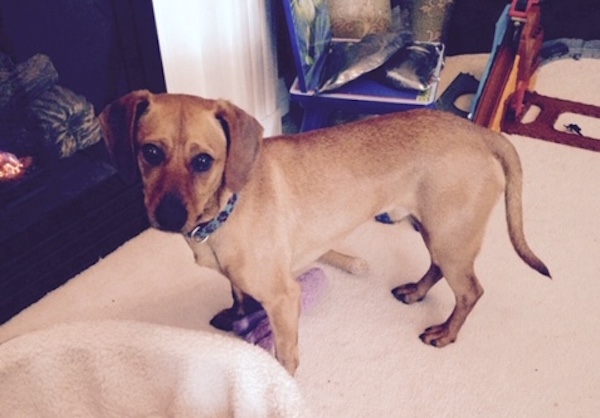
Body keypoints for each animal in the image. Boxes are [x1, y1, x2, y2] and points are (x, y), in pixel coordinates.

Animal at [98, 90, 548, 374]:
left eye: (204, 161)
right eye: (150, 152)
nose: (169, 217)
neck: (224, 209)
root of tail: (480, 132)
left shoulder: (284, 299)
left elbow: (284, 355)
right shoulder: (242, 282)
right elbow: (239, 297)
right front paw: (235, 316)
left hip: (451, 238)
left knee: (470, 291)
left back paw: (445, 334)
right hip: (436, 232)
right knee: (436, 269)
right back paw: (415, 292)